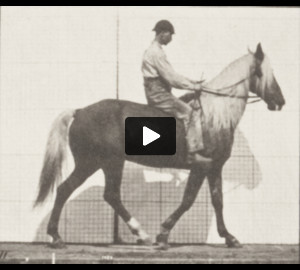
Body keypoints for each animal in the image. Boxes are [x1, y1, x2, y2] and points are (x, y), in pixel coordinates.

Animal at [34, 43, 284, 250]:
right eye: (266, 73)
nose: (280, 101)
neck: (213, 117)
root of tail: (79, 111)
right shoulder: (200, 167)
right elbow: (187, 200)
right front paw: (163, 234)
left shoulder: (214, 168)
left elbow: (217, 201)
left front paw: (230, 238)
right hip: (102, 163)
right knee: (89, 192)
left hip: (101, 164)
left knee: (87, 192)